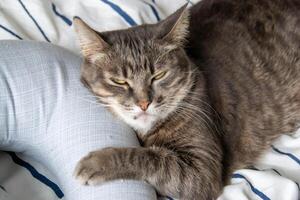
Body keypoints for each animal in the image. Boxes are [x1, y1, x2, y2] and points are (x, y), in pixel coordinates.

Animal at [72, 0, 300, 199]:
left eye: (159, 75)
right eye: (119, 81)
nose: (144, 103)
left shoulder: (202, 170)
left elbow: (150, 157)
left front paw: (97, 162)